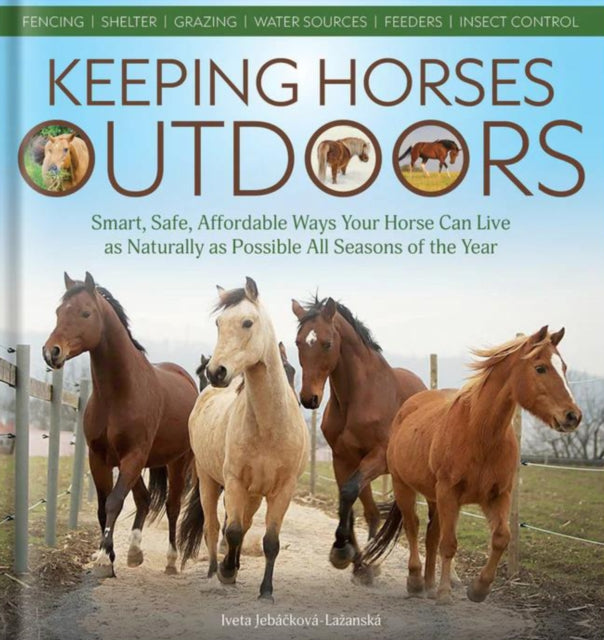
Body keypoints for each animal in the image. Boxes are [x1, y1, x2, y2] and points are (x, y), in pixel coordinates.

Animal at [43, 272, 198, 577]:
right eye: (58, 312)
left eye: (85, 313)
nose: (51, 352)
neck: (119, 394)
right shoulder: (99, 458)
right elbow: (104, 507)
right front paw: (108, 555)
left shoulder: (132, 456)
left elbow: (115, 502)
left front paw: (104, 558)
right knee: (144, 499)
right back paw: (134, 552)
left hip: (178, 462)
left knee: (173, 506)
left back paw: (171, 561)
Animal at [179, 278, 308, 601]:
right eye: (218, 322)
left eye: (247, 322)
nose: (216, 371)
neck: (269, 427)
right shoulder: (234, 481)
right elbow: (232, 531)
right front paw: (226, 572)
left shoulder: (281, 490)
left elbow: (270, 540)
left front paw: (266, 591)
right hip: (208, 480)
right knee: (213, 527)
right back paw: (214, 572)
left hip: (253, 494)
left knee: (242, 524)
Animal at [291, 297, 426, 584]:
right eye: (298, 342)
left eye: (327, 343)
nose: (309, 398)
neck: (359, 396)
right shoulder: (343, 459)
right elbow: (348, 500)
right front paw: (351, 557)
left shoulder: (378, 457)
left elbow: (348, 493)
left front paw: (343, 549)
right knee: (374, 513)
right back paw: (367, 560)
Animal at [362, 326, 581, 605]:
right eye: (540, 368)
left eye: (563, 367)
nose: (573, 416)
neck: (479, 433)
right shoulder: (449, 493)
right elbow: (449, 543)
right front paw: (445, 593)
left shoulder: (497, 496)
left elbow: (500, 538)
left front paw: (478, 589)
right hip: (405, 487)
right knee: (413, 527)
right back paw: (415, 581)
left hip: (434, 497)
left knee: (431, 534)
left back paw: (429, 583)